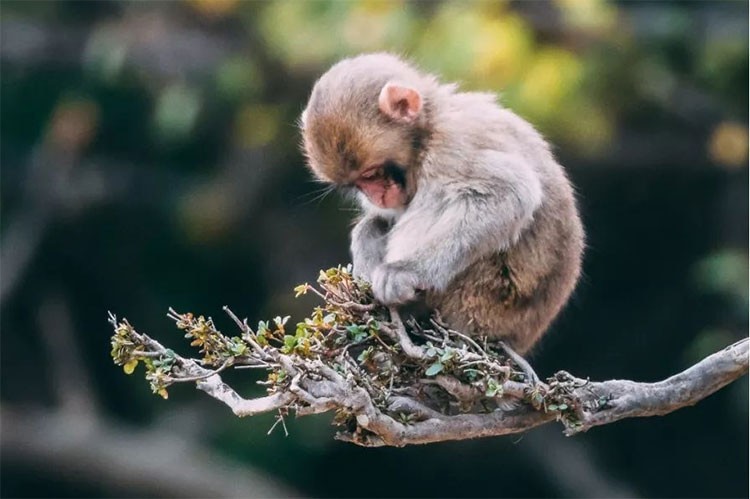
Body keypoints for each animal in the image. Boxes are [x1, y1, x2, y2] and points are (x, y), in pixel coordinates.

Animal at [300, 52, 588, 354]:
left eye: (371, 174)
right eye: (357, 184)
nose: (375, 196)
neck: (428, 127)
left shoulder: (451, 147)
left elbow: (509, 193)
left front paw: (406, 272)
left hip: (482, 301)